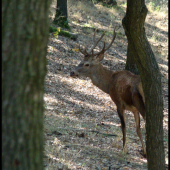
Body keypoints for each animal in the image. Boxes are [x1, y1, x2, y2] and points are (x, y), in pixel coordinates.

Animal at [70, 28, 146, 157]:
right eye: (81, 60)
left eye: (87, 64)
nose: (72, 72)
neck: (110, 82)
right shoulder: (134, 109)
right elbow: (138, 129)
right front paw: (144, 152)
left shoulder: (119, 103)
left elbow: (123, 126)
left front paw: (124, 150)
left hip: (139, 101)